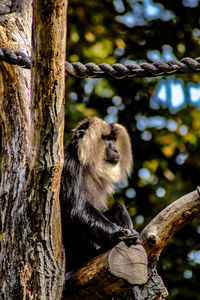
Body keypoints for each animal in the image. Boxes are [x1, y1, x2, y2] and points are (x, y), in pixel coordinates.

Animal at [60, 116, 140, 272]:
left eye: (113, 139)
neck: (83, 162)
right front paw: (118, 234)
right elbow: (77, 211)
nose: (115, 149)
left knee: (119, 207)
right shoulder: (69, 165)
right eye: (106, 139)